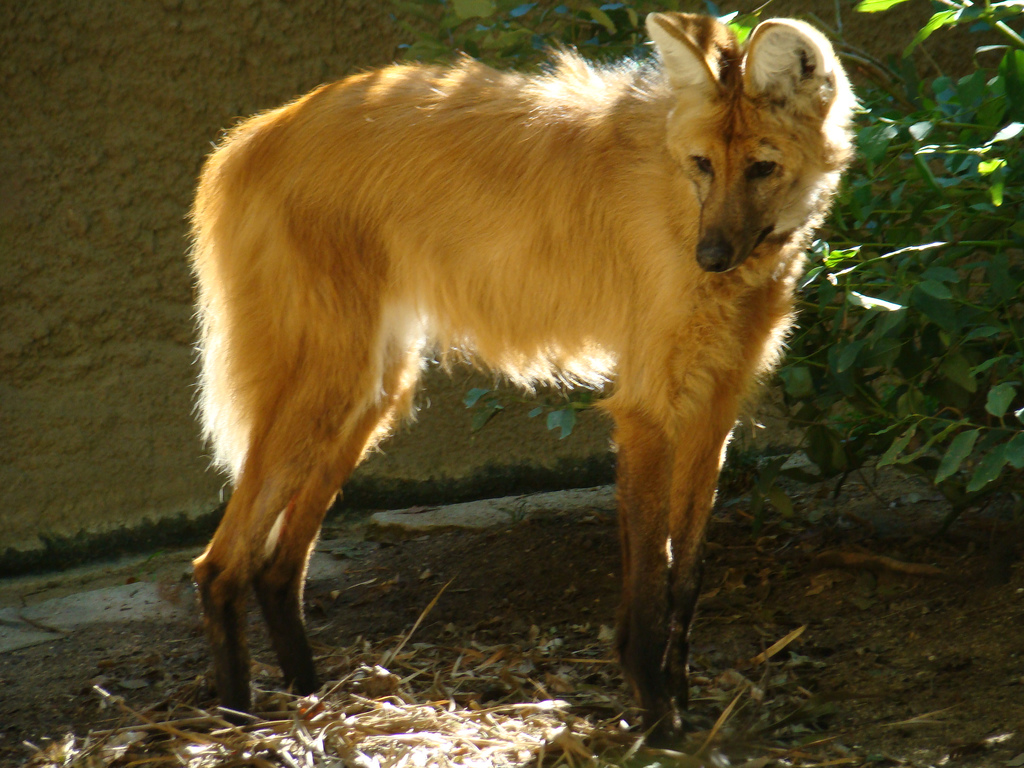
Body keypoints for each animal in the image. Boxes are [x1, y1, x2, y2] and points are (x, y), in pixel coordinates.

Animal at [189, 11, 854, 737]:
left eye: (763, 168)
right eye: (704, 165)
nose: (710, 257)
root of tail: (249, 135)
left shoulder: (715, 406)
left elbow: (687, 574)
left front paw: (679, 708)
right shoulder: (649, 406)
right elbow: (652, 580)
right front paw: (657, 720)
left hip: (373, 392)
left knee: (277, 566)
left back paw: (312, 706)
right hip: (334, 381)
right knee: (219, 566)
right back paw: (240, 726)